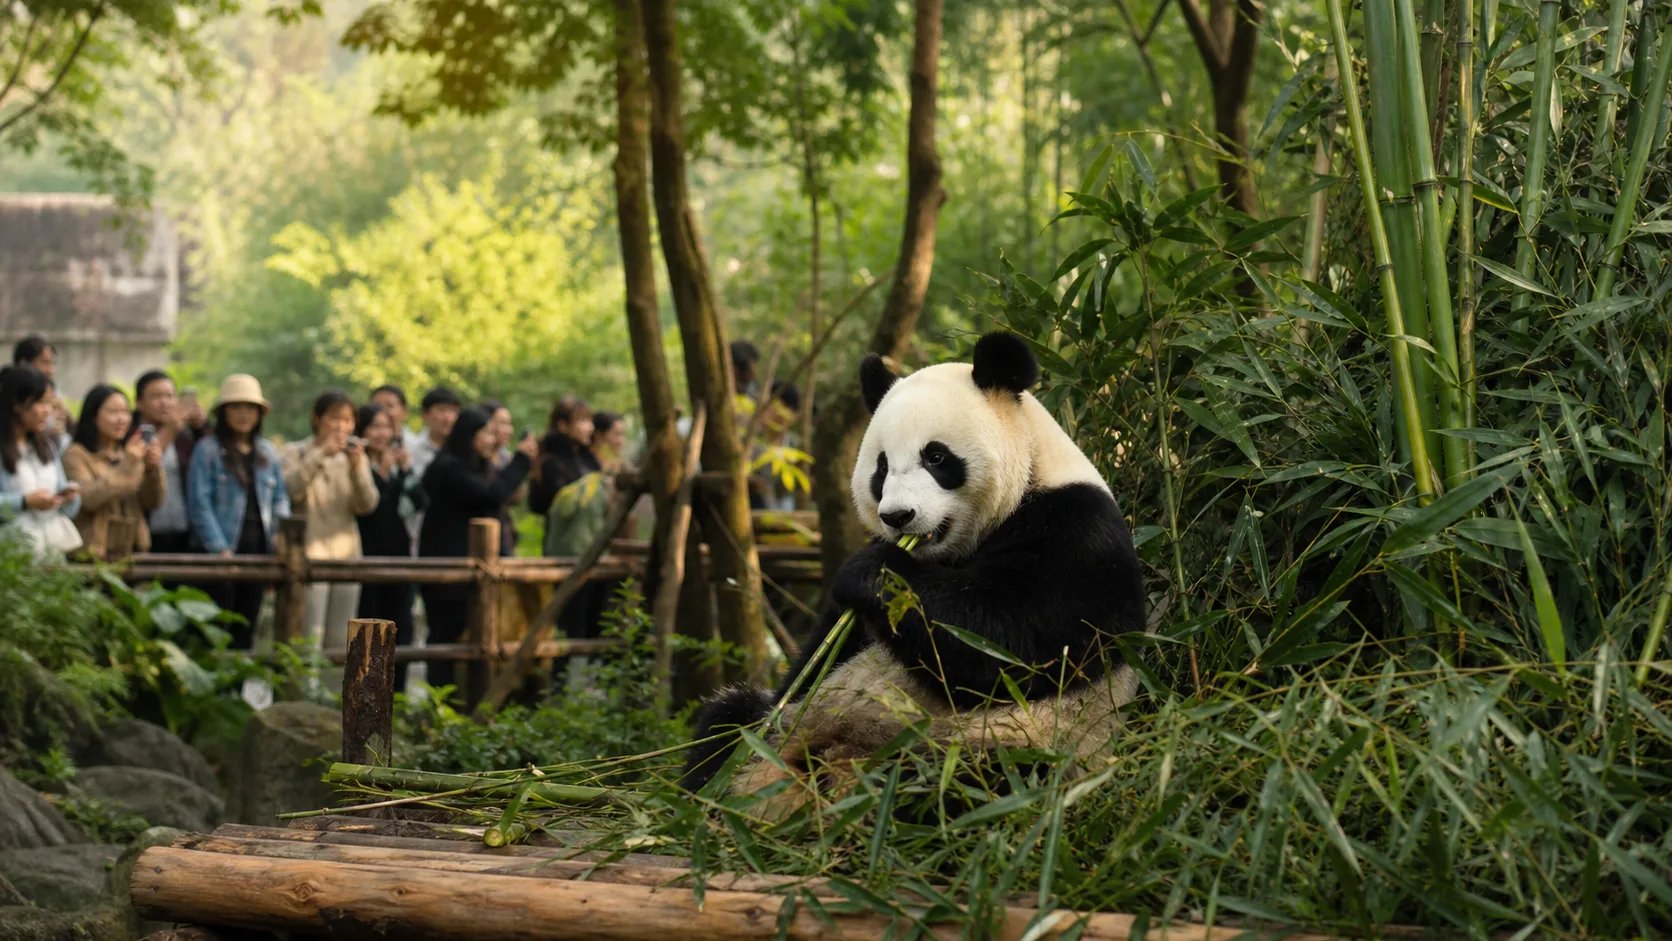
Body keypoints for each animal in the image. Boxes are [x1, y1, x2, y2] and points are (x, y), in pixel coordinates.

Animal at [681, 331, 1147, 818]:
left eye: (937, 457)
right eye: (882, 467)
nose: (898, 516)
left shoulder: (1078, 533)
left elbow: (1012, 644)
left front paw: (874, 573)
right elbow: (816, 660)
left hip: (992, 753)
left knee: (952, 792)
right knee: (731, 719)